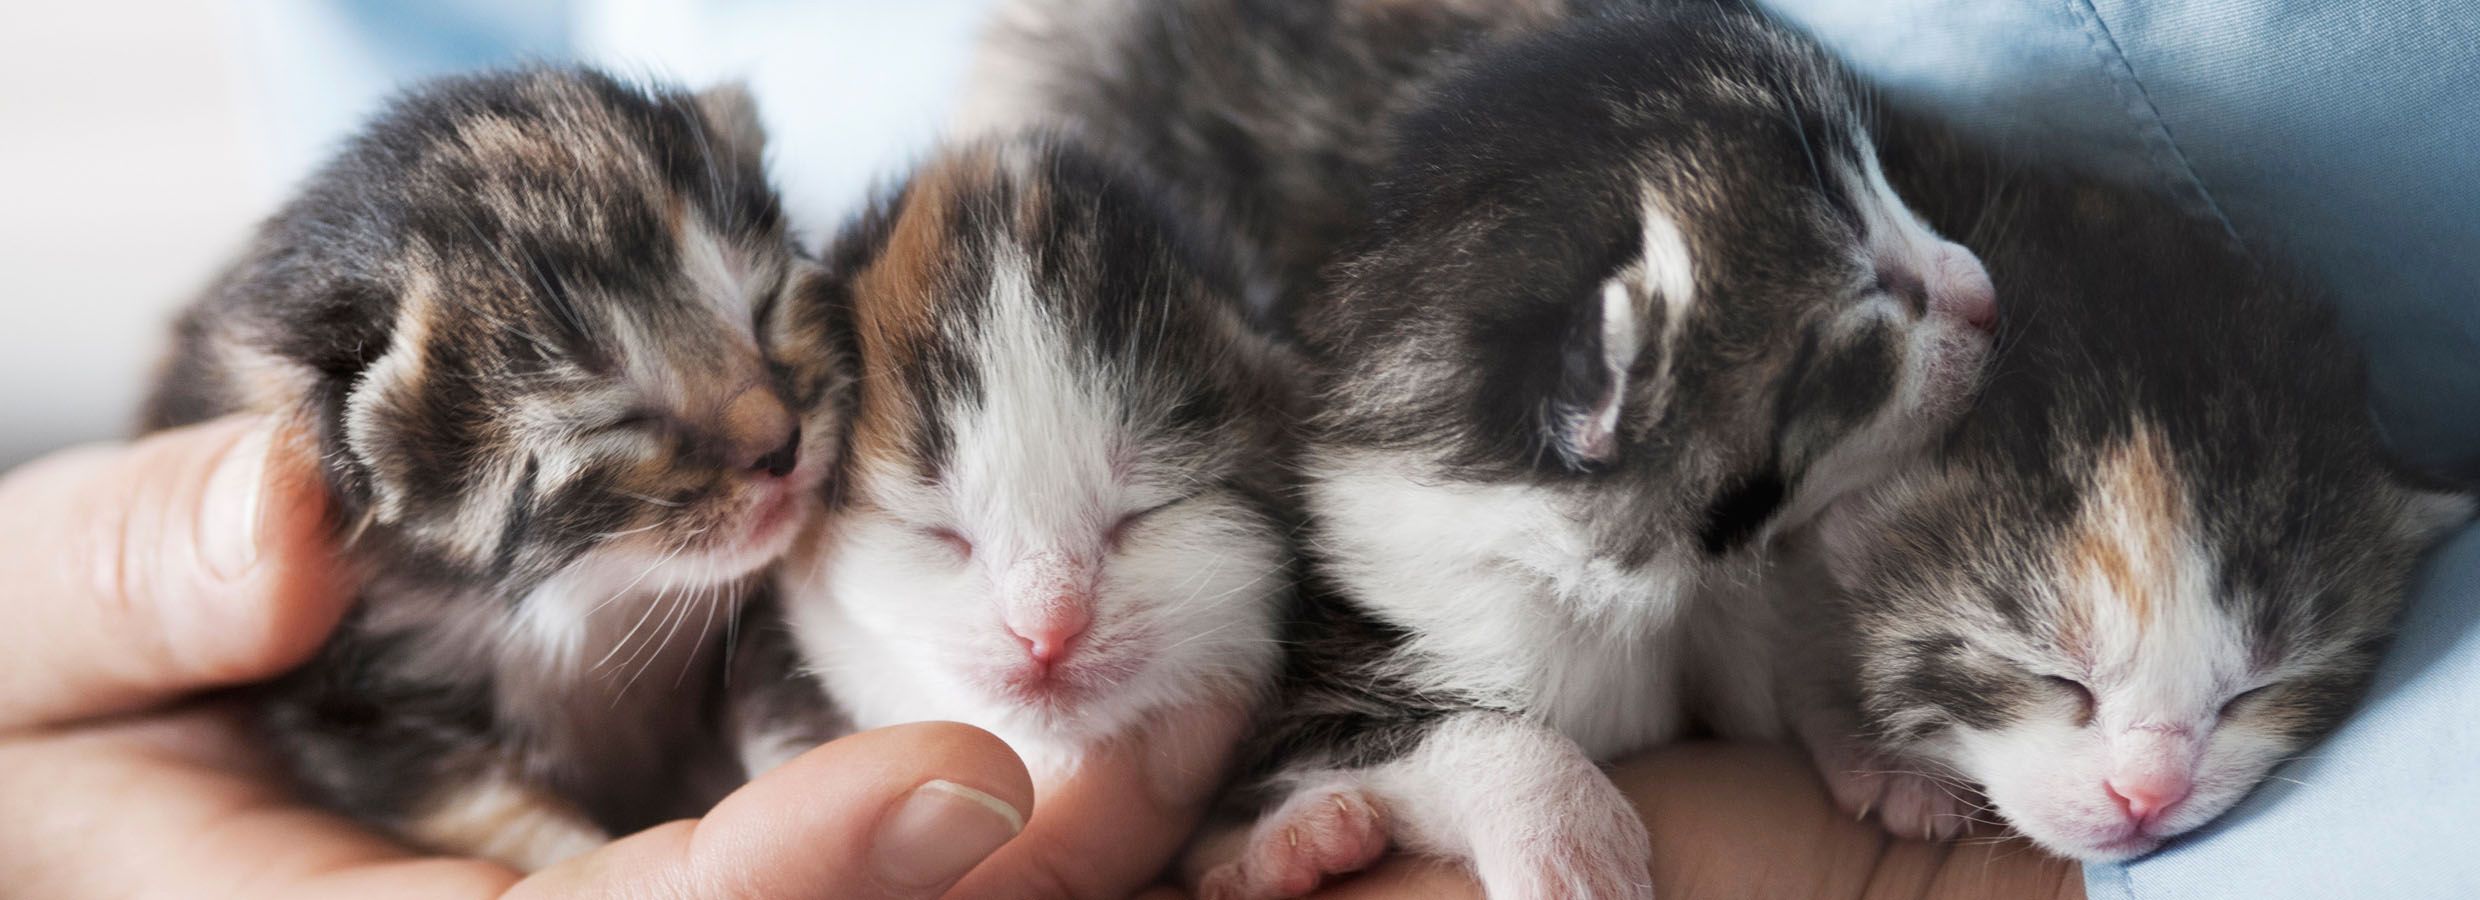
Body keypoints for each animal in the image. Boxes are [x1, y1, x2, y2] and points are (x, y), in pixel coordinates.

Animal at [142, 66, 853, 872]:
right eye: (620, 419)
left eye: (765, 310)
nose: (784, 446)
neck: (586, 602)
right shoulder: (338, 695)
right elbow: (462, 795)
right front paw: (567, 851)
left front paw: (796, 748)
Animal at [1195, 8, 1993, 900]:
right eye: (1864, 330)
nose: (1986, 294)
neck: (1664, 587)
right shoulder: (1318, 689)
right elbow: (1450, 730)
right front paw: (1568, 837)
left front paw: (1878, 744)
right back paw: (1303, 844)